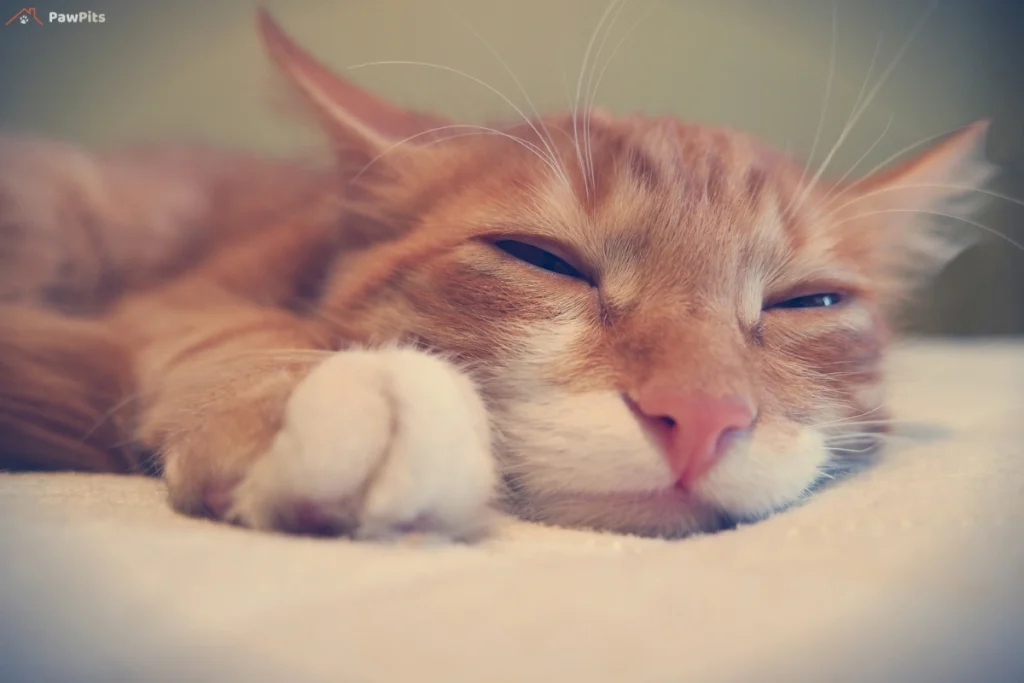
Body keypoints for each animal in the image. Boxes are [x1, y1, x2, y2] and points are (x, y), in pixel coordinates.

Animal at [0, 6, 995, 540]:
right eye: (542, 259)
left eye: (808, 301)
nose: (702, 416)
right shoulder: (179, 297)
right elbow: (236, 331)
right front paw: (324, 392)